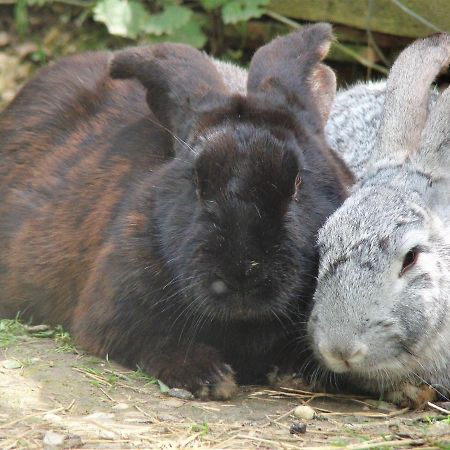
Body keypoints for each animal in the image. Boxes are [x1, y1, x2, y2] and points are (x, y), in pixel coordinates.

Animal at [0, 23, 352, 398]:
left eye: (297, 183)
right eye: (196, 183)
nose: (241, 274)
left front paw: (292, 373)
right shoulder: (113, 317)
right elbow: (154, 342)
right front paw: (210, 377)